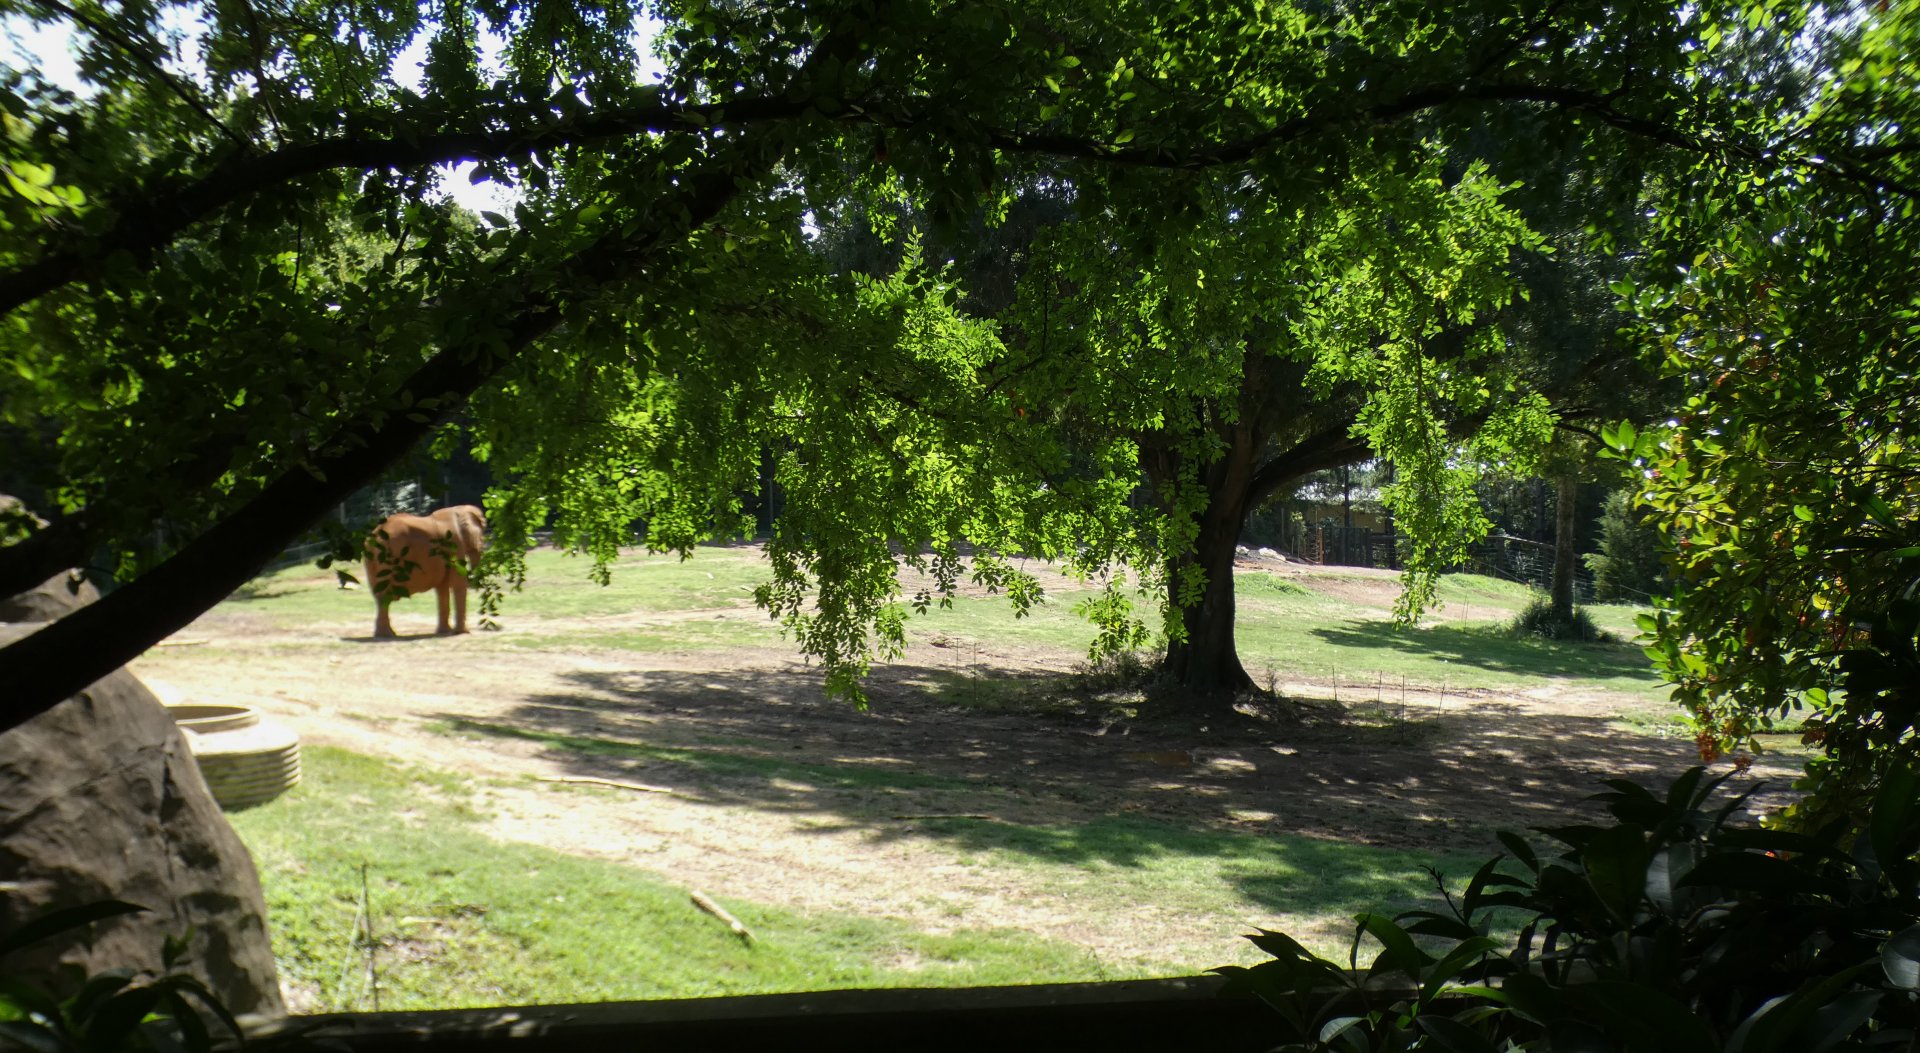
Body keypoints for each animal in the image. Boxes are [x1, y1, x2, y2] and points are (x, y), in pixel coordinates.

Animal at [363, 505, 487, 638]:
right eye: (481, 535)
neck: (459, 509)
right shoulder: (455, 543)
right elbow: (458, 583)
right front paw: (461, 633)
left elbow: (442, 587)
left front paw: (444, 632)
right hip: (389, 557)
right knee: (385, 596)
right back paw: (387, 635)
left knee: (380, 597)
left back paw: (383, 634)